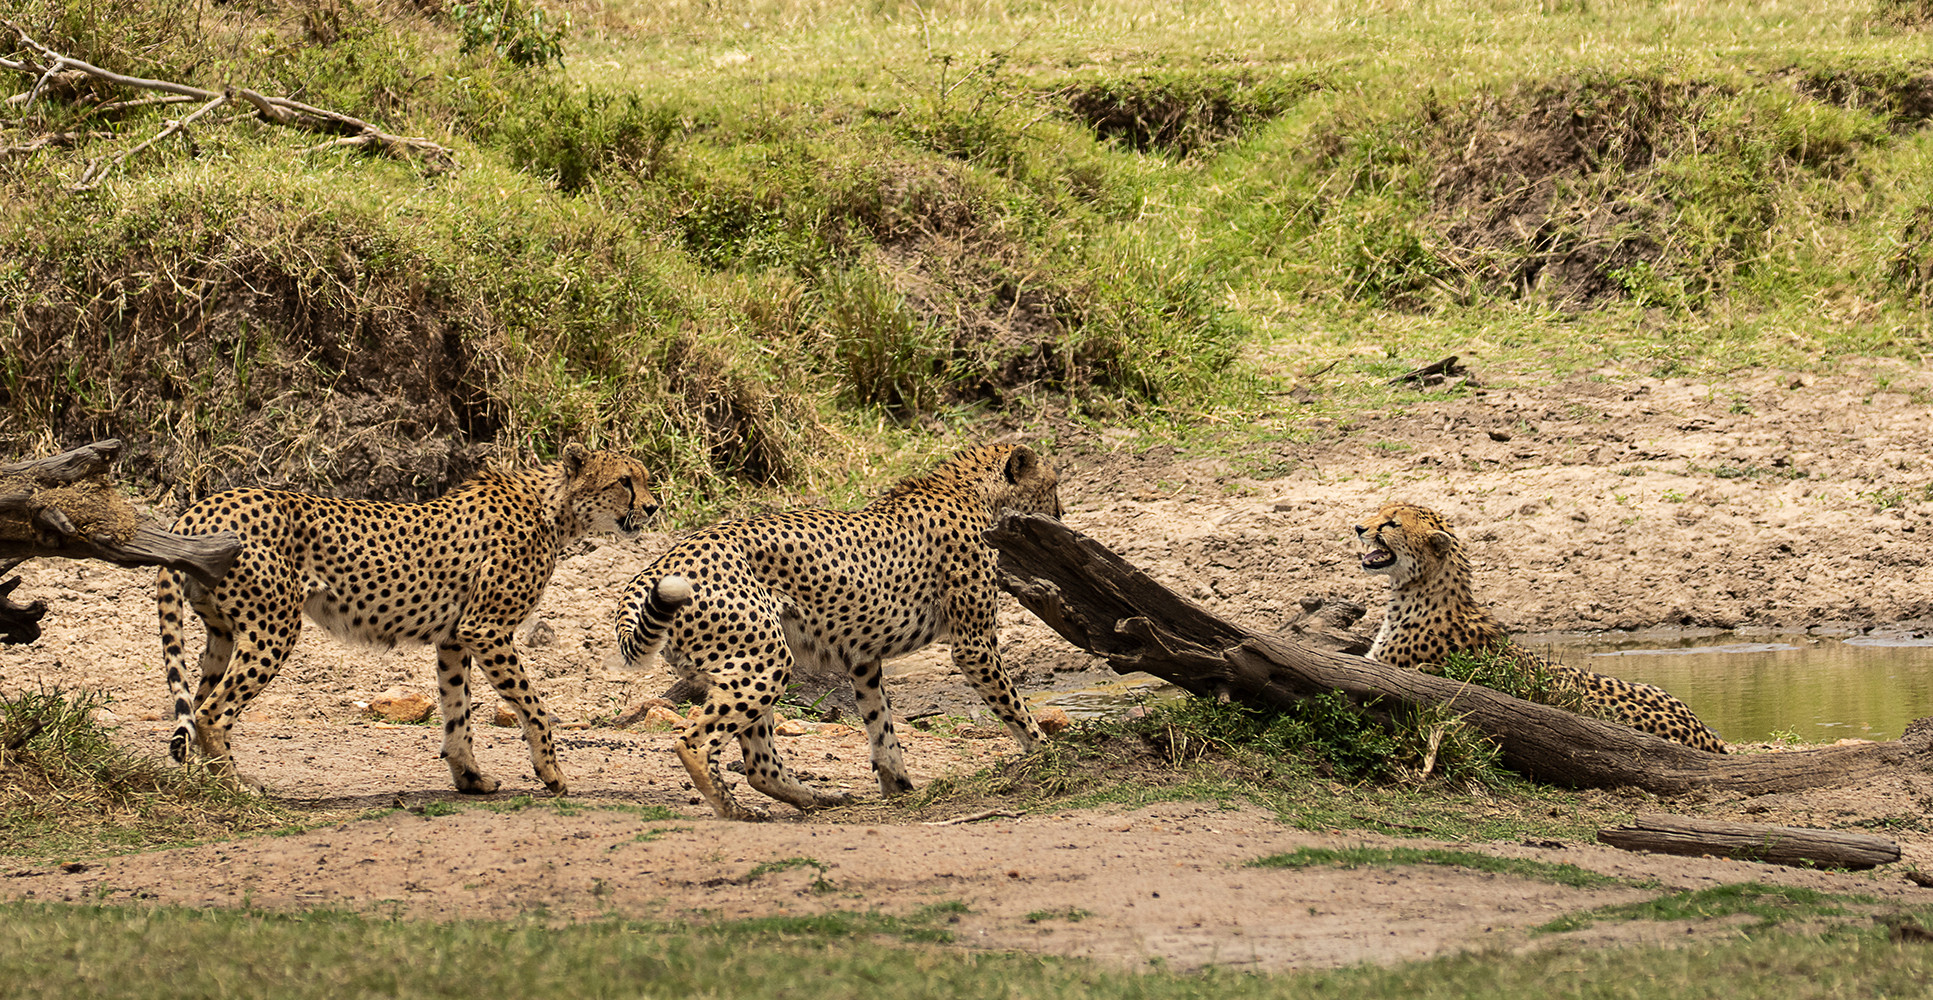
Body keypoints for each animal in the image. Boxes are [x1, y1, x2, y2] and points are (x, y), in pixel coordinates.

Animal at [160, 446, 657, 796]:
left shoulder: (456, 637)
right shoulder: (487, 628)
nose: (653, 507)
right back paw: (235, 788)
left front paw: (470, 778)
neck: (553, 509)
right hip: (273, 627)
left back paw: (211, 785)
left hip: (223, 634)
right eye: (624, 481)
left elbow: (457, 711)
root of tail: (203, 505)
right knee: (210, 713)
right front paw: (551, 774)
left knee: (197, 706)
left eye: (645, 478)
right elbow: (533, 705)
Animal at [618, 444, 1067, 820]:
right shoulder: (974, 644)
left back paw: (817, 798)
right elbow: (1014, 706)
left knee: (759, 764)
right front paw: (1048, 755)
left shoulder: (863, 657)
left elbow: (880, 721)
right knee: (694, 743)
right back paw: (736, 811)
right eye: (1054, 485)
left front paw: (898, 785)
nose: (1060, 515)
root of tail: (659, 563)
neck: (971, 491)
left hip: (751, 662)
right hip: (765, 661)